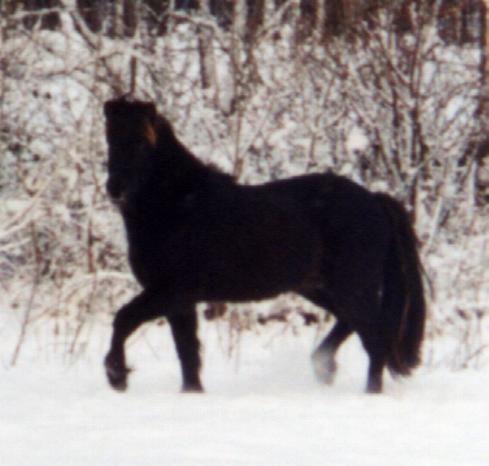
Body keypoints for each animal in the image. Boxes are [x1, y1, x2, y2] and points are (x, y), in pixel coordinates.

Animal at [102, 97, 424, 394]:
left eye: (142, 144)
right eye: (110, 139)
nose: (114, 188)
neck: (178, 205)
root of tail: (375, 200)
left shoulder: (170, 291)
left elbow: (123, 319)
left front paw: (117, 376)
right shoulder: (179, 302)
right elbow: (188, 355)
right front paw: (190, 394)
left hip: (352, 286)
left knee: (375, 341)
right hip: (320, 287)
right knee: (352, 325)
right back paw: (324, 366)